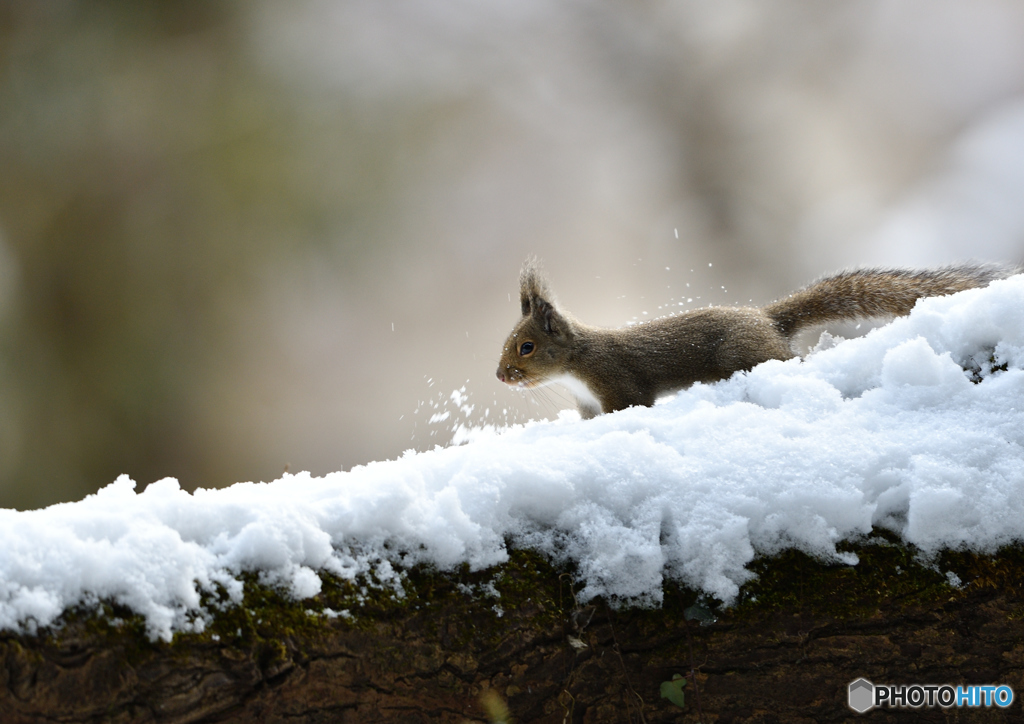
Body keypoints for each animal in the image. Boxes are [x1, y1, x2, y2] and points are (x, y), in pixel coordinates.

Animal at [495, 259, 1015, 419]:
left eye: (526, 347)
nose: (501, 376)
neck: (576, 364)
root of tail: (765, 319)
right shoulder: (589, 405)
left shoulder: (618, 385)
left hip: (744, 353)